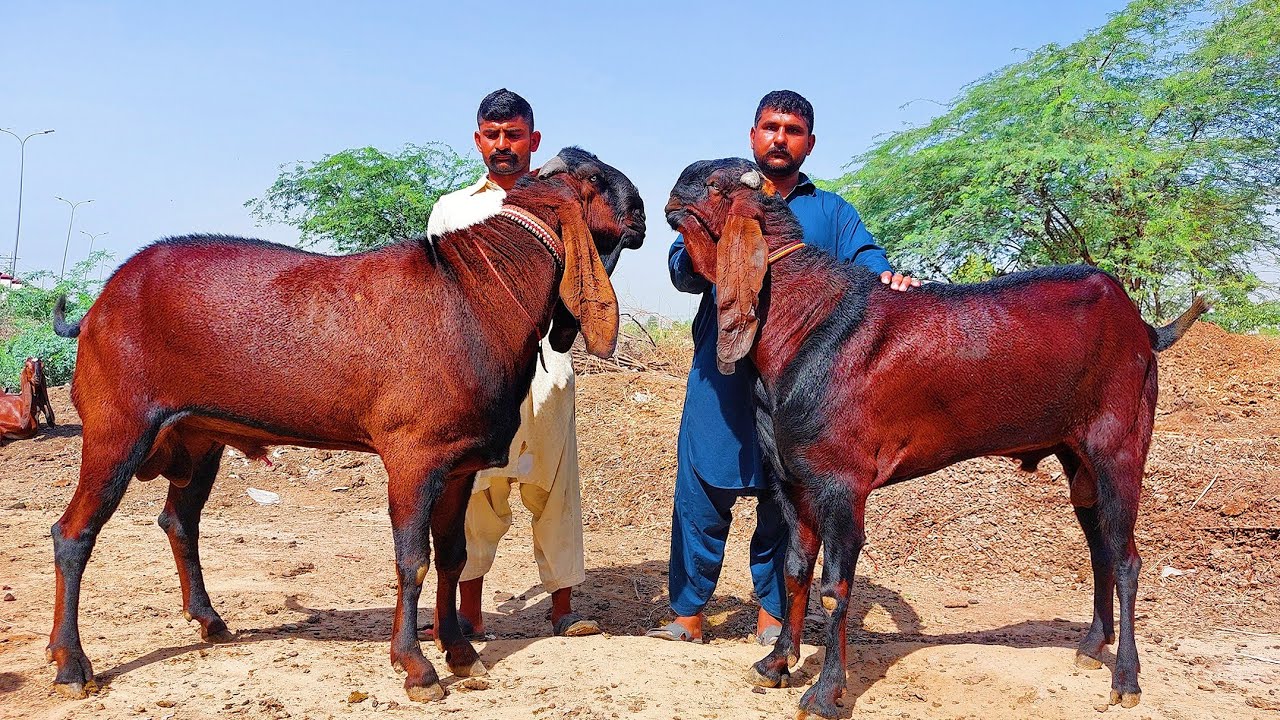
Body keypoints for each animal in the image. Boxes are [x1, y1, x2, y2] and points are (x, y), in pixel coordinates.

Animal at [45, 147, 644, 702]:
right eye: (594, 179)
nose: (640, 209)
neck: (478, 295)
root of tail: (98, 306)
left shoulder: (458, 465)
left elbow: (453, 557)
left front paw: (460, 652)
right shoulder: (413, 456)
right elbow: (413, 561)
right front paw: (416, 667)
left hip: (199, 437)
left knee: (179, 521)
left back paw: (210, 621)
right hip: (117, 427)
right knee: (73, 533)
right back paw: (71, 663)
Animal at [664, 158, 1207, 719]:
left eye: (712, 185)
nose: (677, 183)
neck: (804, 320)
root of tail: (1143, 327)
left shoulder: (842, 483)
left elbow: (835, 587)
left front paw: (825, 691)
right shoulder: (792, 479)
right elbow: (794, 568)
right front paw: (776, 663)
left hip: (1119, 448)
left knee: (1126, 560)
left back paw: (1126, 678)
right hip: (1078, 460)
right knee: (1100, 547)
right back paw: (1091, 646)